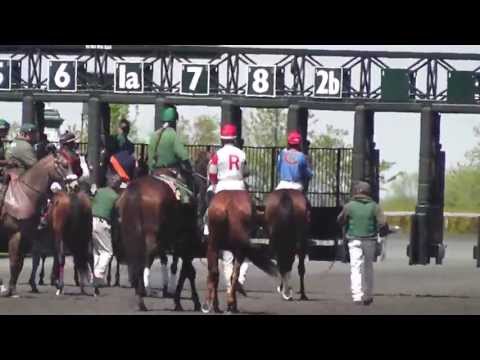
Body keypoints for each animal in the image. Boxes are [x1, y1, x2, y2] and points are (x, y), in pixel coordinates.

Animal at [0, 150, 77, 298]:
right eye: (64, 165)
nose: (75, 186)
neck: (25, 194)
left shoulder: (27, 236)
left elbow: (20, 263)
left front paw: (13, 288)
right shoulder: (15, 234)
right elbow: (15, 261)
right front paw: (10, 290)